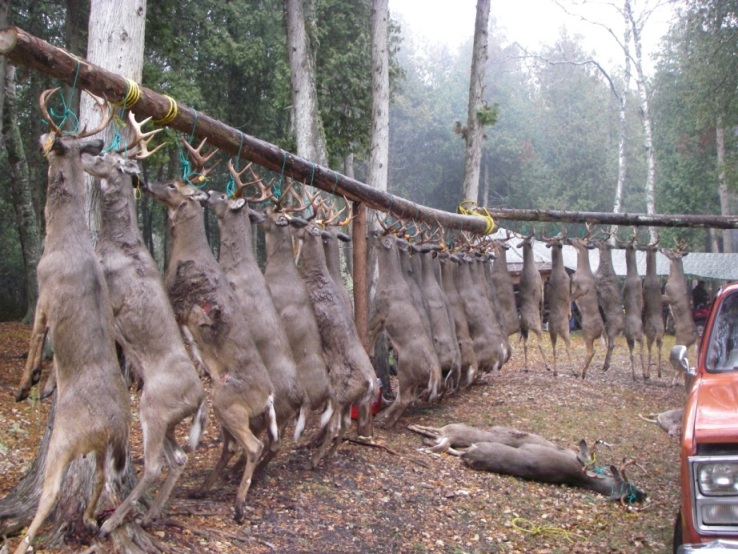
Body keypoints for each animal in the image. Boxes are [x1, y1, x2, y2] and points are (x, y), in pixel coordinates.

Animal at [14, 88, 130, 548]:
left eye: (51, 137)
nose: (40, 135)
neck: (64, 238)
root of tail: (114, 424)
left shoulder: (44, 290)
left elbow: (35, 337)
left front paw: (24, 385)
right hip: (102, 448)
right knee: (99, 481)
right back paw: (91, 518)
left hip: (66, 439)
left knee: (50, 494)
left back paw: (22, 542)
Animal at [80, 115, 206, 532]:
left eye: (107, 158)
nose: (85, 155)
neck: (117, 243)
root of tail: (200, 399)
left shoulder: (110, 296)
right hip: (165, 418)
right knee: (178, 457)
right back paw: (151, 514)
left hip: (154, 407)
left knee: (152, 466)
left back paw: (111, 522)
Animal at [142, 143, 278, 520]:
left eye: (173, 185)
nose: (144, 181)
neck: (186, 252)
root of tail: (268, 395)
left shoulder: (177, 306)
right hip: (230, 410)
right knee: (240, 445)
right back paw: (204, 489)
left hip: (227, 401)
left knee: (253, 445)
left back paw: (239, 505)